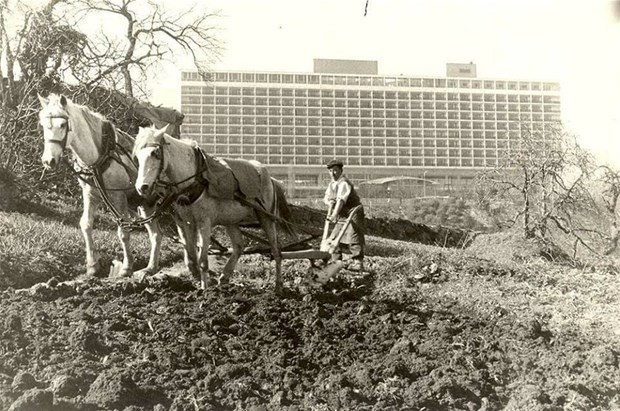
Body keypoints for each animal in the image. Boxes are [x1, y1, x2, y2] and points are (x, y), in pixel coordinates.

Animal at [38, 95, 162, 278]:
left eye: (62, 125)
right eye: (42, 124)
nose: (49, 161)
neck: (98, 157)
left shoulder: (118, 197)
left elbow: (123, 232)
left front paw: (126, 267)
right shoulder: (90, 194)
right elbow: (86, 224)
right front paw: (92, 266)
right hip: (144, 205)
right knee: (156, 234)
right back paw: (151, 267)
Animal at [133, 125, 294, 292]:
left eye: (155, 153)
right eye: (137, 156)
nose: (142, 187)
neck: (194, 178)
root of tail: (271, 178)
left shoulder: (204, 222)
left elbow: (203, 260)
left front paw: (204, 290)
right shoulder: (187, 222)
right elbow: (192, 256)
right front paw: (198, 281)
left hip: (266, 217)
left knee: (276, 251)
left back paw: (278, 286)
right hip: (231, 220)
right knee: (238, 246)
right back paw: (224, 278)